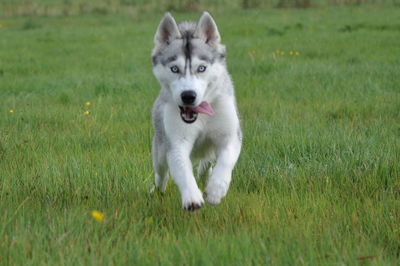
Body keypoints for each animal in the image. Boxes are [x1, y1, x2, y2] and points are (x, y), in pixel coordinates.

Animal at [152, 12, 242, 211]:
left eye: (201, 68)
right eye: (174, 69)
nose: (188, 96)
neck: (201, 117)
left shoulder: (231, 135)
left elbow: (226, 160)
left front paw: (216, 190)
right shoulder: (176, 142)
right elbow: (182, 169)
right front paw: (192, 197)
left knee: (207, 161)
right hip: (159, 150)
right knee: (161, 173)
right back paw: (157, 190)